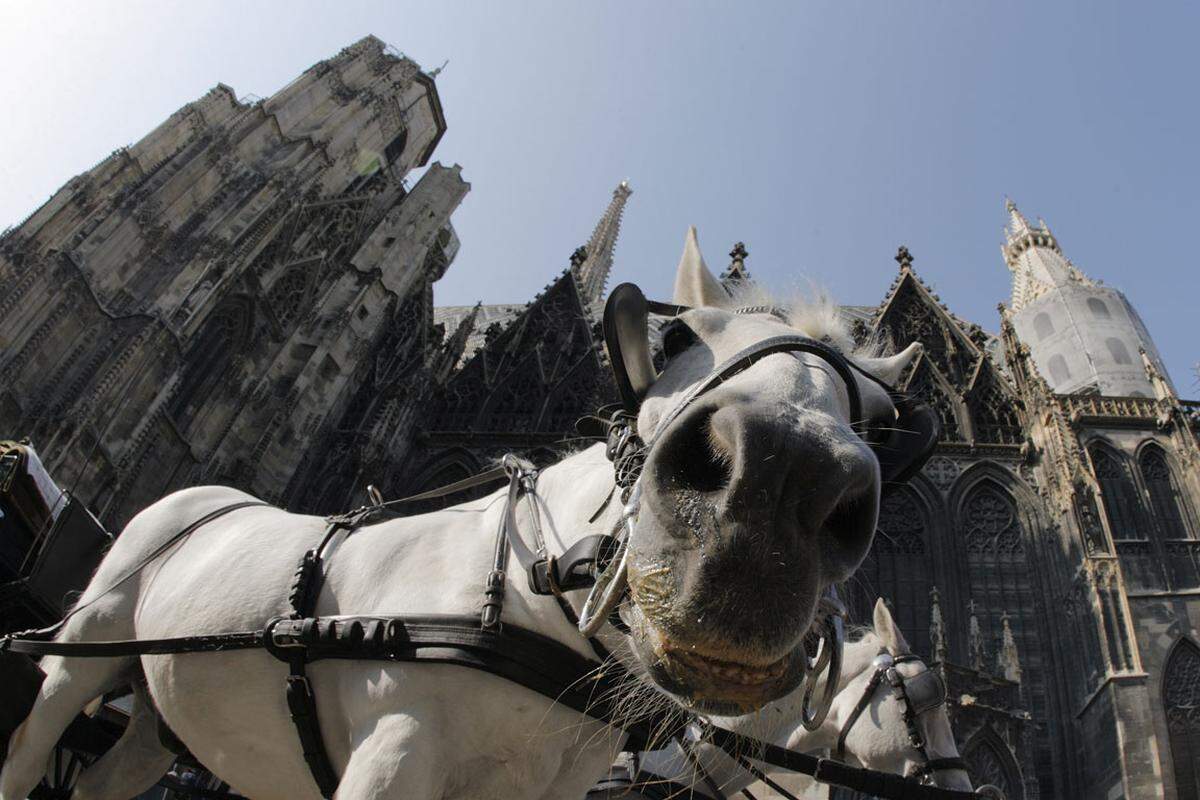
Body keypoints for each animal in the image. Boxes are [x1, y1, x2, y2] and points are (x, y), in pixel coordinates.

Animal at [0, 226, 916, 800]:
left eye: (886, 419)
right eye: (673, 338)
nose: (767, 499)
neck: (522, 598)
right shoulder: (390, 757)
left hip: (160, 719)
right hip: (78, 661)